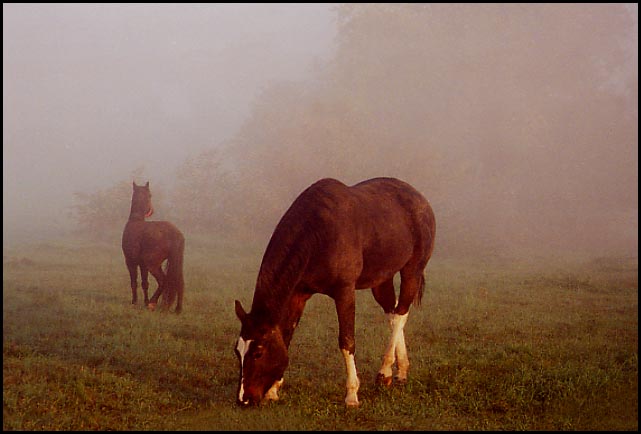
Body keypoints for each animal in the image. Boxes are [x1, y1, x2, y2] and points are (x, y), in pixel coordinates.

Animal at [121, 181, 184, 314]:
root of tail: (174, 233)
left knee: (163, 281)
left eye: (150, 194)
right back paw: (178, 309)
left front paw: (135, 302)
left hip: (153, 265)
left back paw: (152, 303)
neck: (136, 221)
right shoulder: (142, 265)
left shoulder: (131, 262)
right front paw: (144, 301)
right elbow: (145, 283)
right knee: (179, 283)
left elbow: (134, 282)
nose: (151, 210)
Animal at [235, 176, 436, 406]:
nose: (243, 399)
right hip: (382, 279)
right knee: (393, 314)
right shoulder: (298, 295)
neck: (317, 233)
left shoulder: (344, 292)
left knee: (401, 312)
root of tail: (419, 198)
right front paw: (274, 390)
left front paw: (351, 395)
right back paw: (399, 372)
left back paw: (385, 372)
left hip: (412, 271)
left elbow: (347, 341)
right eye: (237, 351)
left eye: (258, 353)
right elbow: (286, 335)